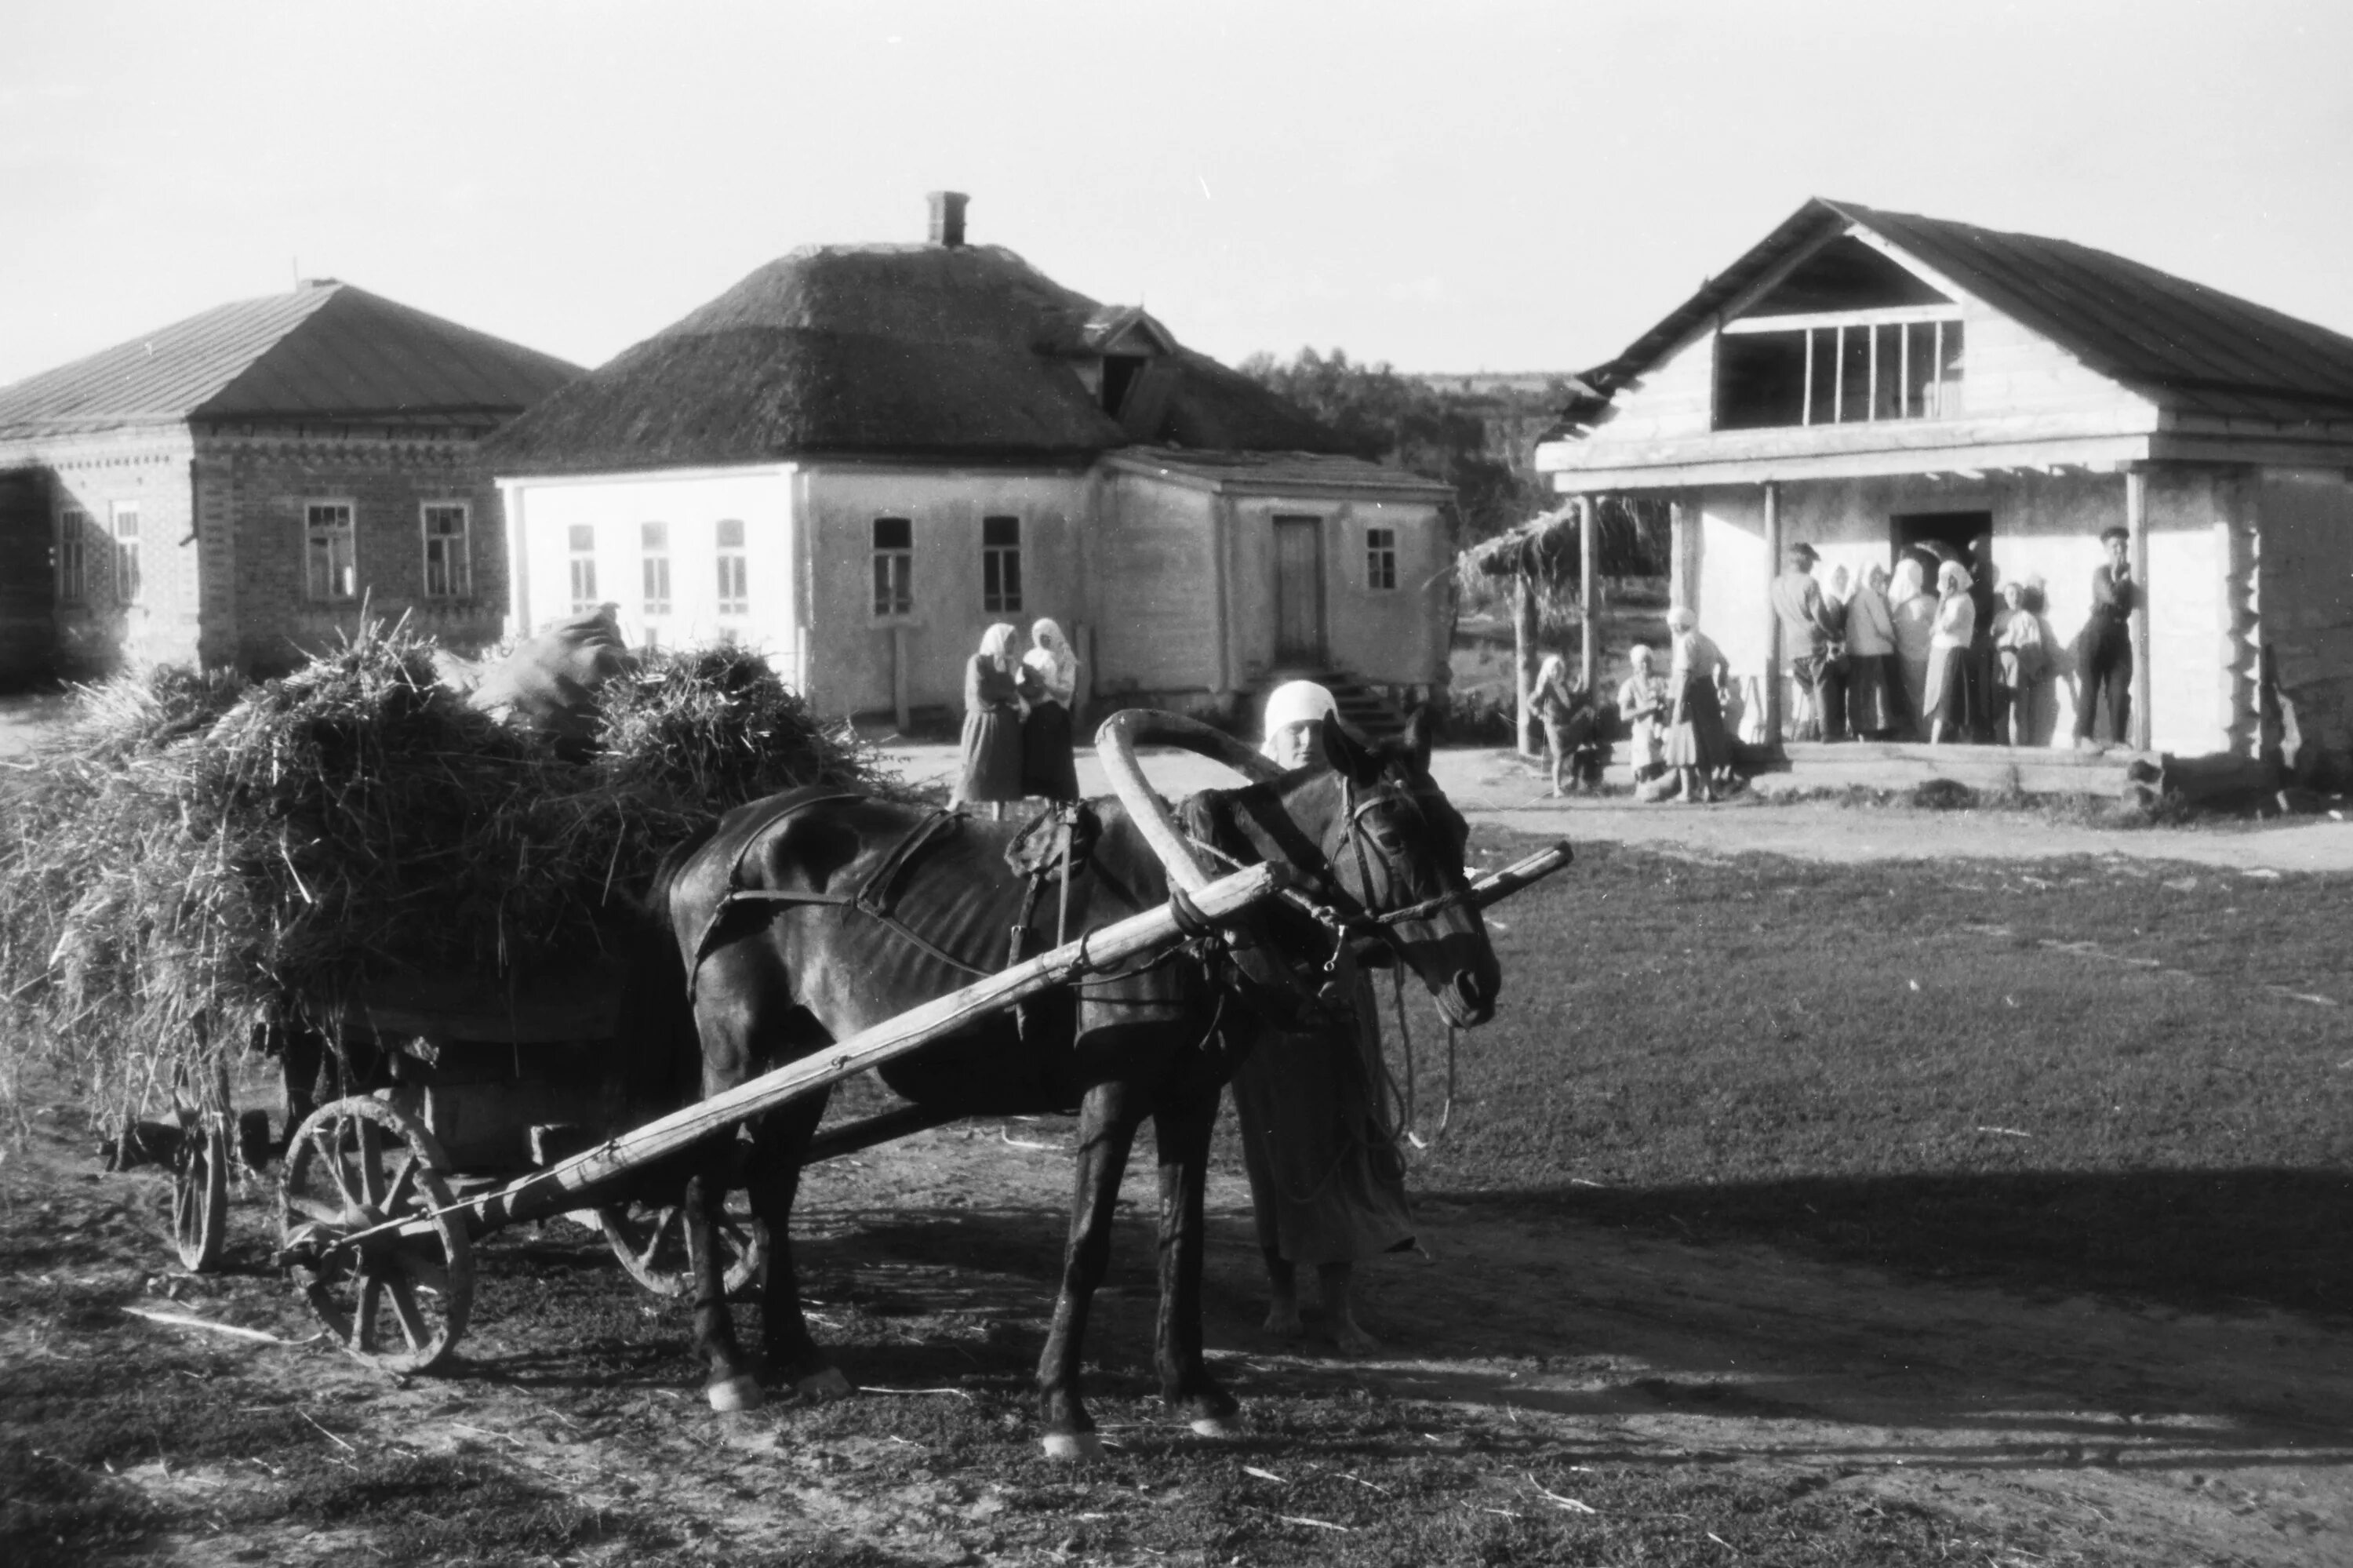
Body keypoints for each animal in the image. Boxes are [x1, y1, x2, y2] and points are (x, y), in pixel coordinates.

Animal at [635, 706, 1497, 1450]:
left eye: (1457, 830)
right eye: (1391, 834)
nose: (1478, 983)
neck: (1195, 900)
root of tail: (723, 832)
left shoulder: (1191, 1096)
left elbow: (1180, 1241)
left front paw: (1194, 1390)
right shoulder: (1110, 1095)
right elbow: (1087, 1242)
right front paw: (1062, 1406)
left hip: (804, 1060)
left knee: (772, 1183)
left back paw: (799, 1353)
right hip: (736, 1054)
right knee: (703, 1183)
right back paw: (727, 1363)